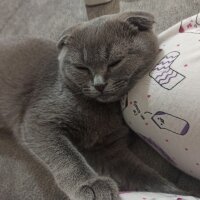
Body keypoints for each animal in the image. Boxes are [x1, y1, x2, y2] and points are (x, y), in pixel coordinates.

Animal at [0, 12, 185, 200]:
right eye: (81, 68)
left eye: (115, 62)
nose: (99, 85)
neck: (100, 112)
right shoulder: (40, 121)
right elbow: (67, 157)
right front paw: (91, 185)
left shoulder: (109, 150)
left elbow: (141, 173)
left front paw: (176, 191)